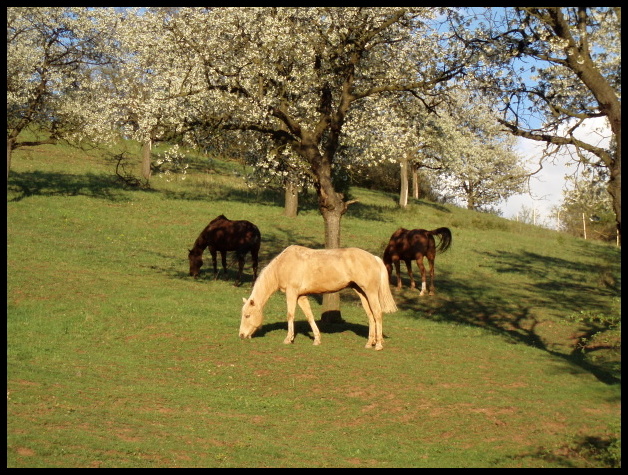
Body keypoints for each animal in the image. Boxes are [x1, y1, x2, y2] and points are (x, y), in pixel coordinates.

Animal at [240, 247, 398, 352]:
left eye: (247, 315)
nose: (241, 335)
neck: (284, 264)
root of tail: (375, 258)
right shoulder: (301, 296)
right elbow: (309, 316)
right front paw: (317, 339)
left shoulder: (291, 293)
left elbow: (290, 315)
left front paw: (288, 339)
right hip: (362, 293)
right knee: (371, 316)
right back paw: (369, 343)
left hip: (371, 293)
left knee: (377, 314)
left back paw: (378, 345)